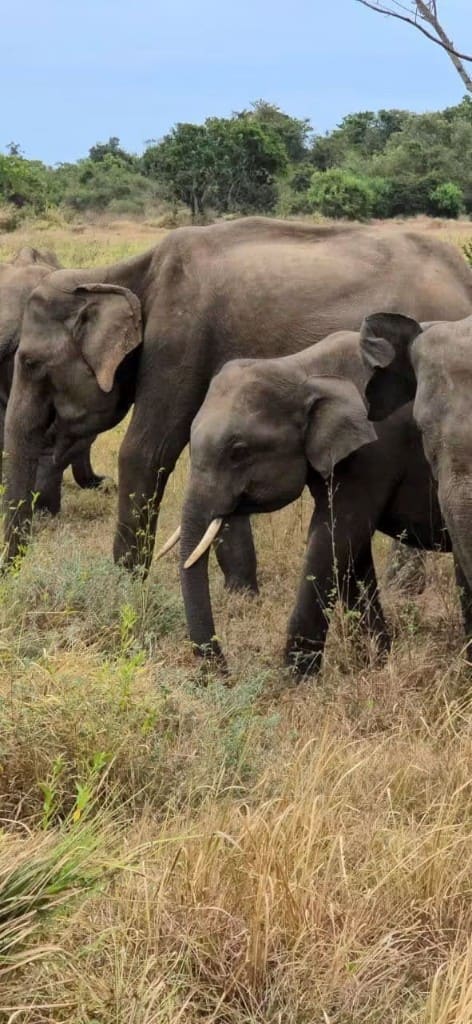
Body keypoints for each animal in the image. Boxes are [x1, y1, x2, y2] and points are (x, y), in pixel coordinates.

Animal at [167, 327, 461, 675]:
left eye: (238, 452)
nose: (224, 675)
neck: (301, 369)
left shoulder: (372, 453)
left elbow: (334, 538)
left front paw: (295, 679)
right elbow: (352, 553)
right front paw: (373, 664)